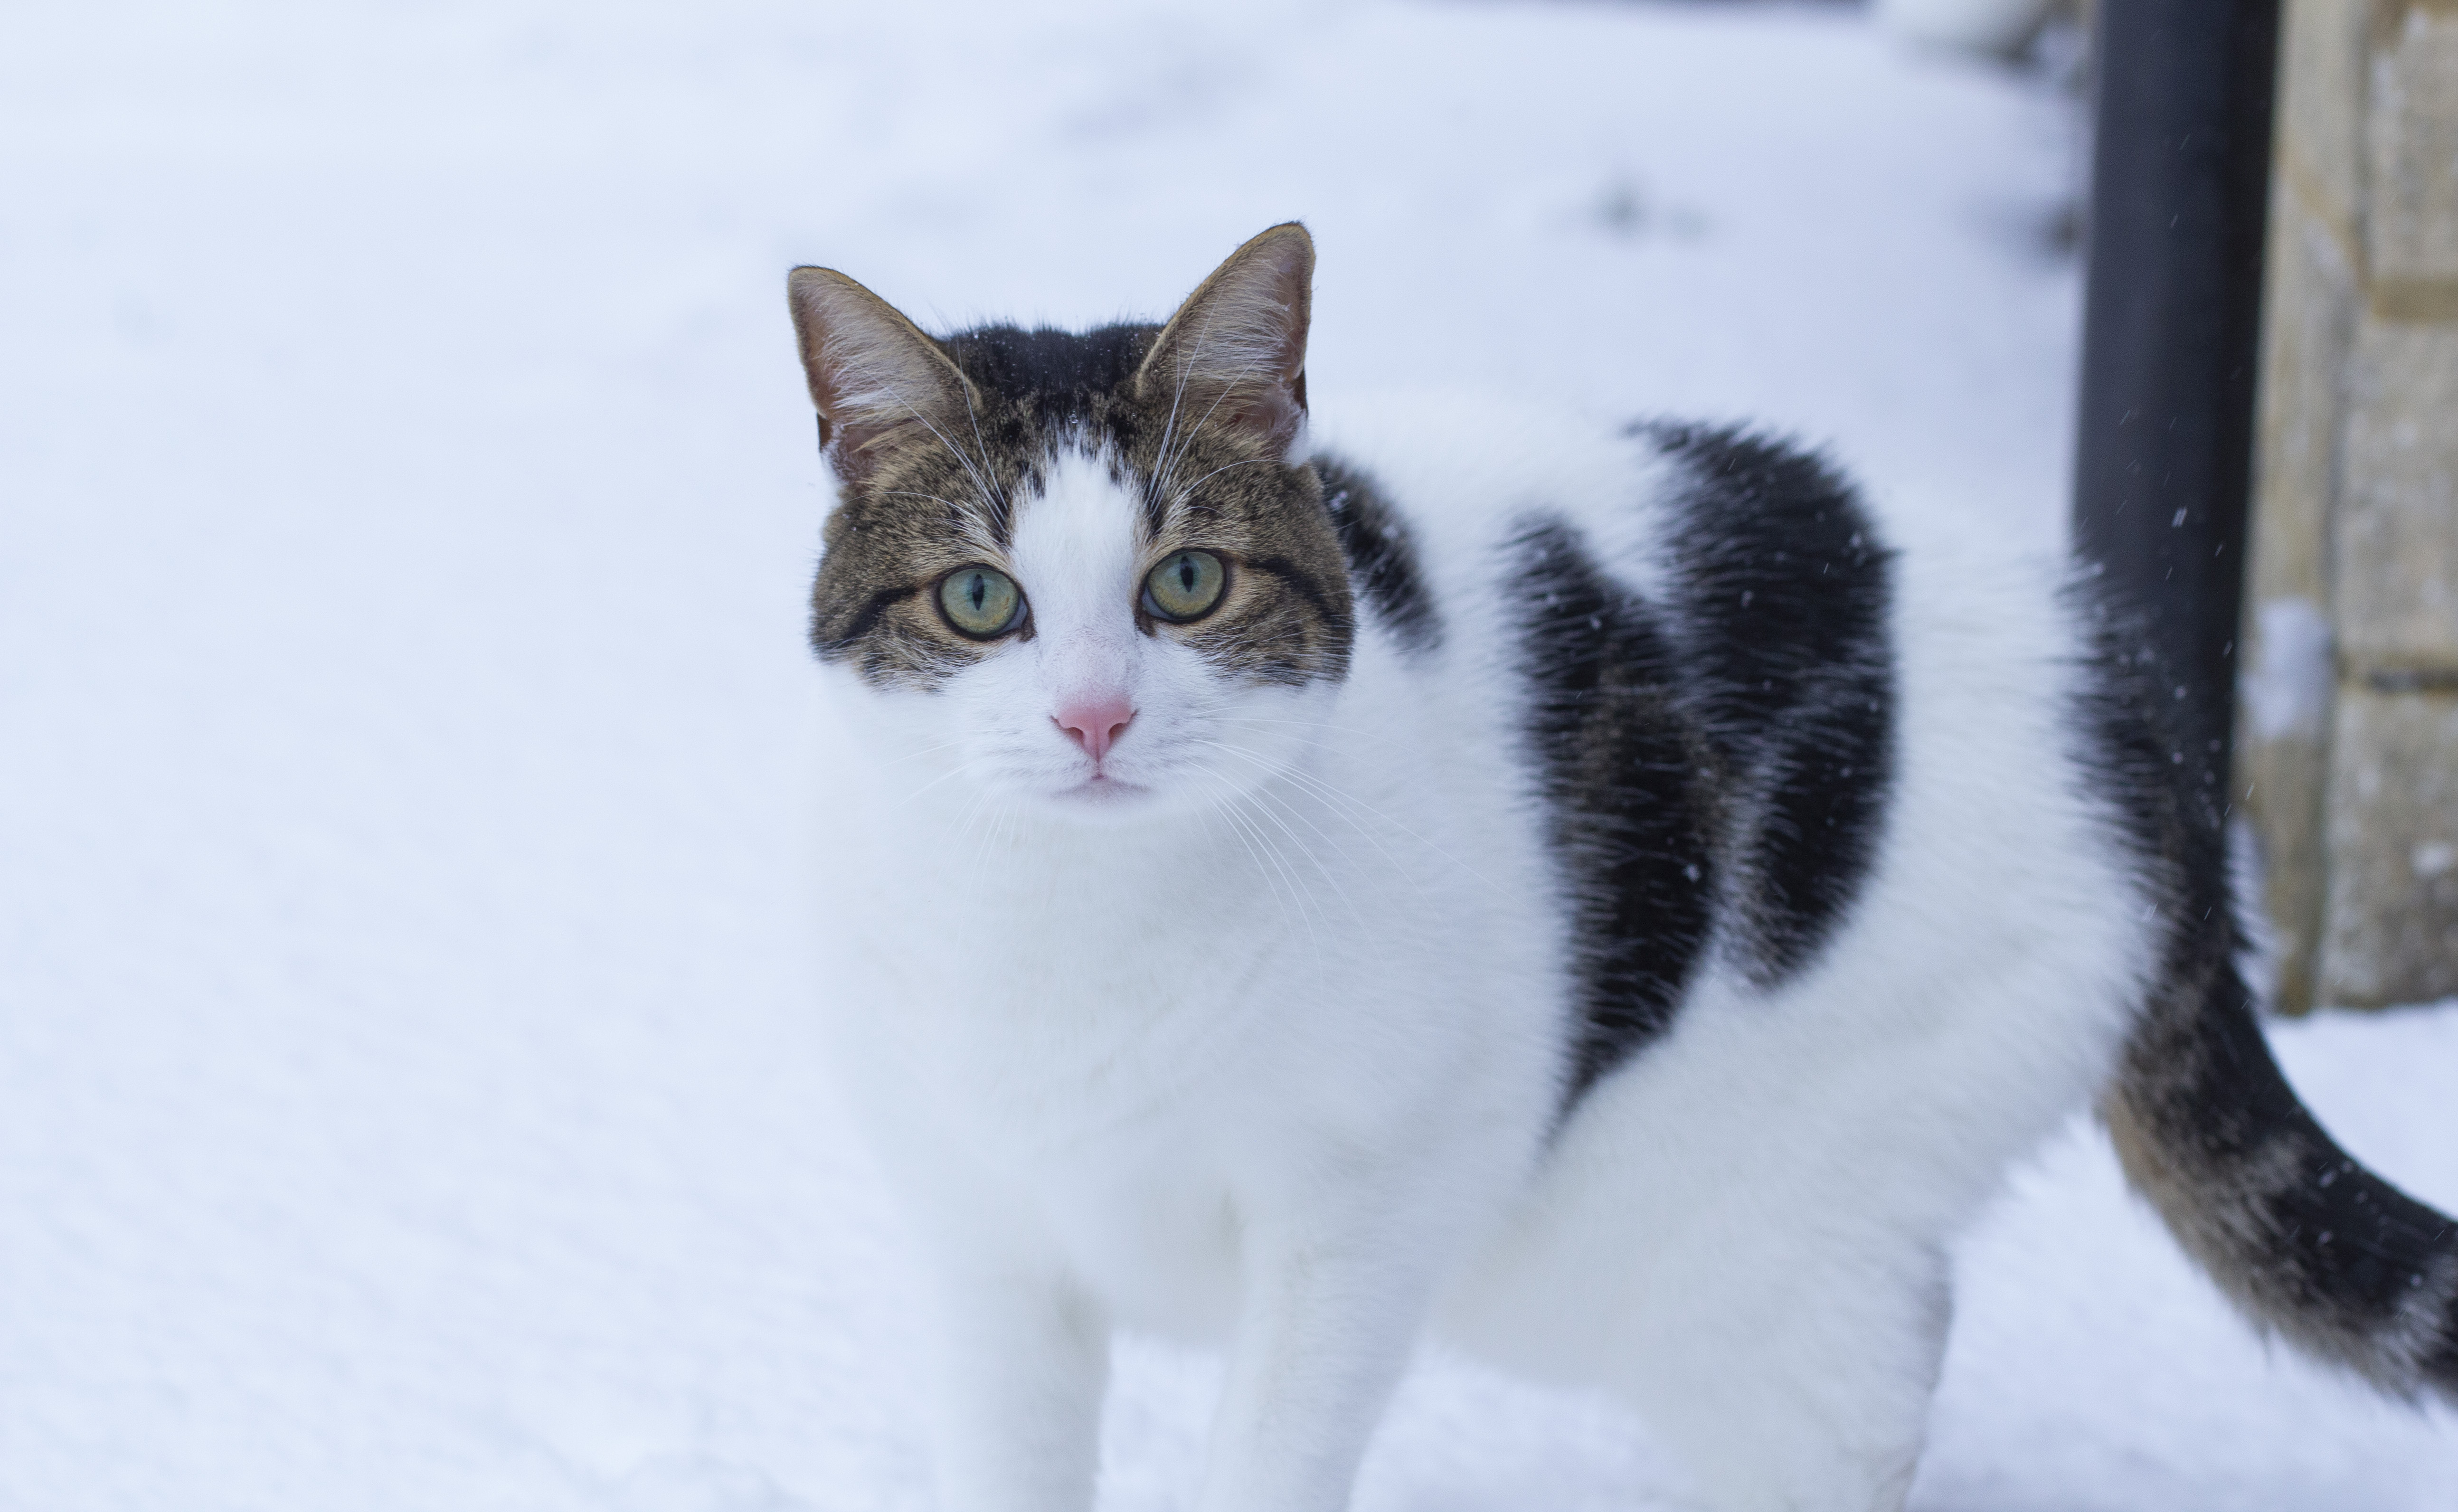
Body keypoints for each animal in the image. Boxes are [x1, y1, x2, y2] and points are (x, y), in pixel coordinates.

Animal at [786, 225, 2458, 1512]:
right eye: (981, 600)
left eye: (1185, 583)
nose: (1093, 715)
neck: (1075, 932)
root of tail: (2127, 687)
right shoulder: (987, 1246)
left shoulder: (1365, 1218)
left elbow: (1268, 1462)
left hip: (1735, 1239)